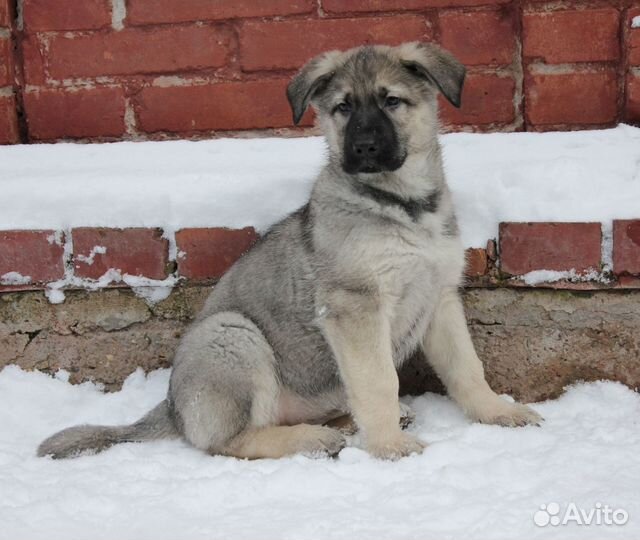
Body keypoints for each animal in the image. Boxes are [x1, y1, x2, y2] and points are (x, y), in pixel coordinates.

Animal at [38, 44, 540, 462]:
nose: (364, 148)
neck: (403, 205)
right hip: (233, 336)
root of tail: (173, 409)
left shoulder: (439, 297)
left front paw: (497, 412)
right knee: (230, 442)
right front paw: (389, 446)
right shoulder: (355, 306)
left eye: (391, 101)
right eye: (343, 108)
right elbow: (378, 380)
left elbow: (466, 367)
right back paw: (313, 439)